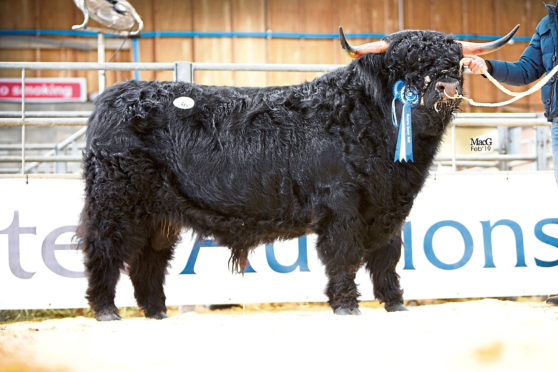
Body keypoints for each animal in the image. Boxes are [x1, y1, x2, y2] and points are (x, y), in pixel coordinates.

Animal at [76, 25, 520, 320]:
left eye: (454, 63)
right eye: (404, 65)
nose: (446, 89)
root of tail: (118, 94)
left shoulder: (391, 207)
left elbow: (387, 256)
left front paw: (395, 304)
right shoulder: (341, 206)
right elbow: (343, 255)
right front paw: (346, 305)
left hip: (159, 215)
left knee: (148, 260)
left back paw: (157, 313)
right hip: (115, 201)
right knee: (104, 248)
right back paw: (106, 309)